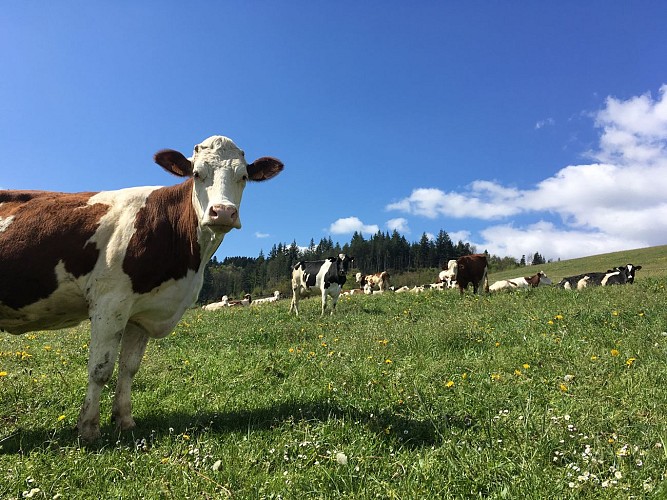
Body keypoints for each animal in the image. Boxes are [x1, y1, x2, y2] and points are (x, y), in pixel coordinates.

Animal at [0, 134, 284, 442]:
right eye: (197, 174)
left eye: (243, 176)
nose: (223, 212)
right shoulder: (109, 303)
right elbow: (100, 370)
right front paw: (88, 429)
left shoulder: (142, 312)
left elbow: (128, 368)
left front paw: (124, 420)